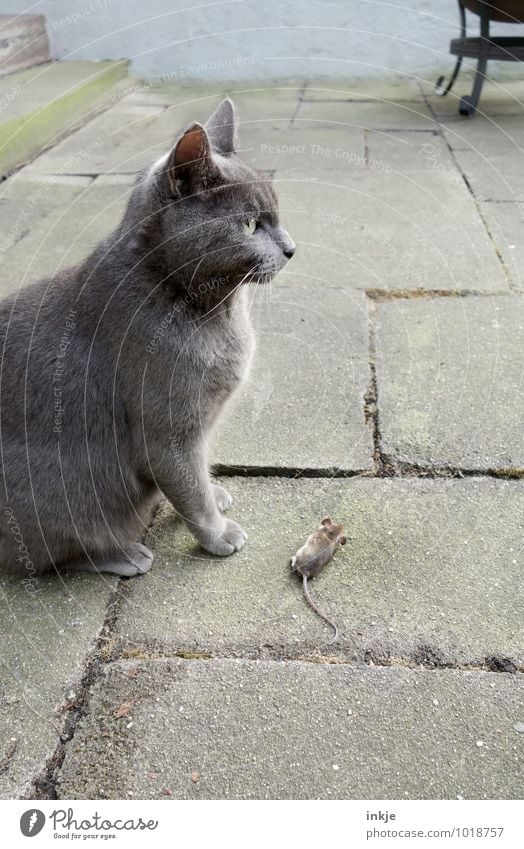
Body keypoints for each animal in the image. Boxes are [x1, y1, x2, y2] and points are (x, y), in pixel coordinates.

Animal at [0, 97, 294, 576]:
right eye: (251, 225)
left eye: (277, 216)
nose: (291, 248)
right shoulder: (167, 430)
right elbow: (188, 487)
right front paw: (218, 534)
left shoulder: (202, 425)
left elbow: (199, 471)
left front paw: (216, 493)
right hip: (59, 483)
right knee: (56, 551)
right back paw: (126, 555)